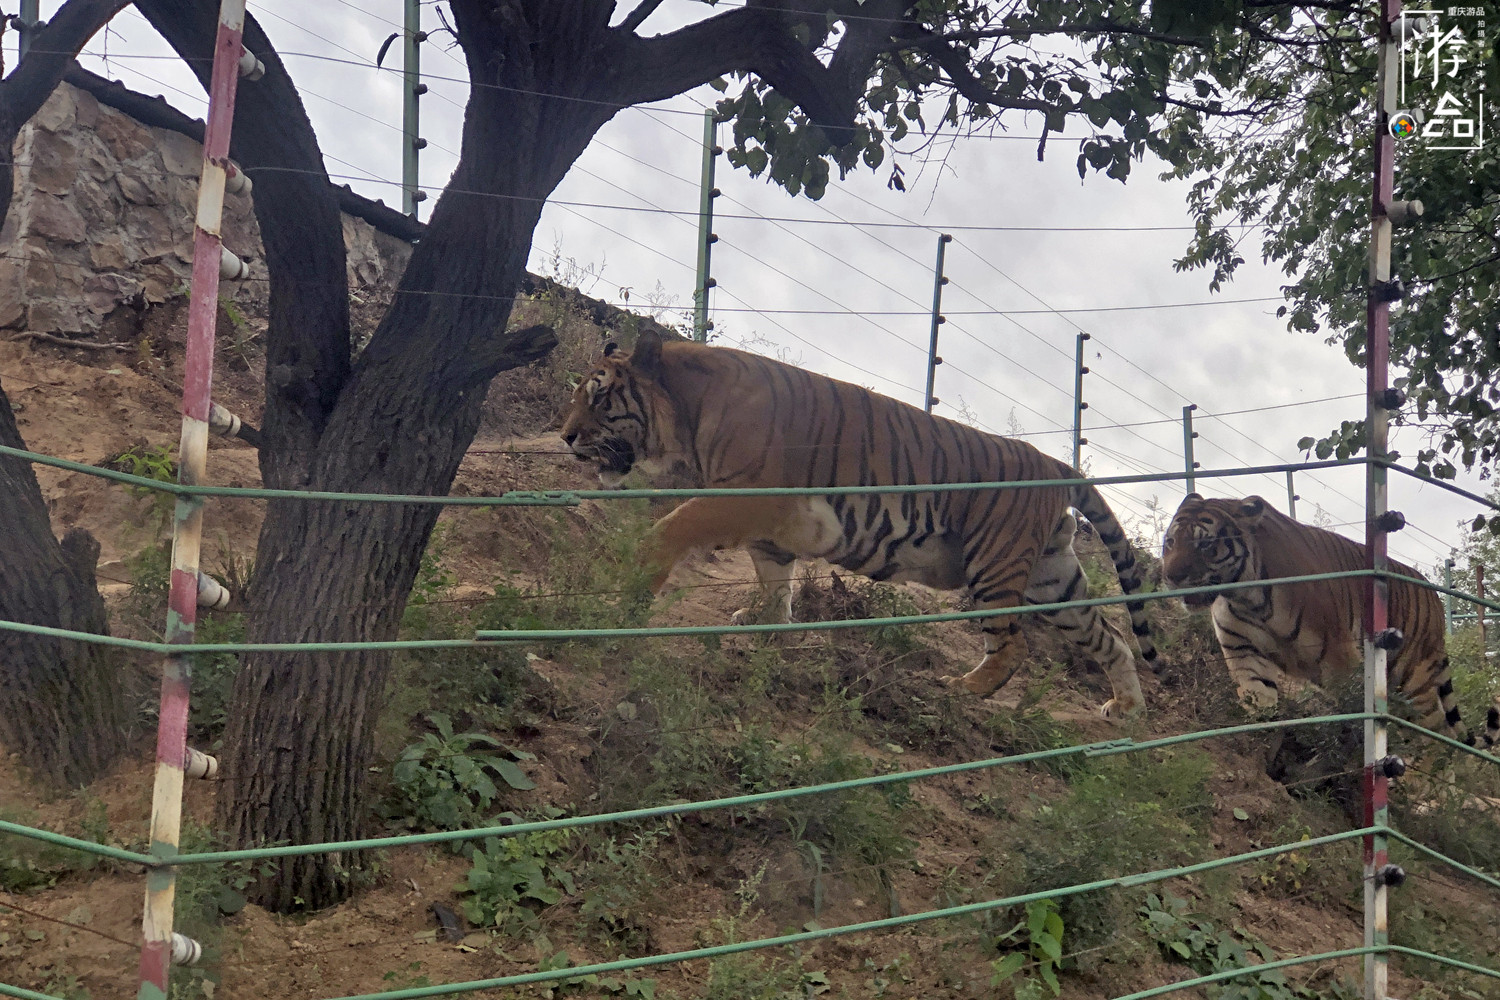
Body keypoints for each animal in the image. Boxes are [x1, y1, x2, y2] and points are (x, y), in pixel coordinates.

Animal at [564, 329, 1158, 719]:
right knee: (1110, 637)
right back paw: (1126, 708)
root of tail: (1056, 464)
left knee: (1013, 646)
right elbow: (775, 582)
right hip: (1051, 578)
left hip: (996, 563)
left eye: (598, 396)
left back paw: (960, 690)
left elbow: (670, 528)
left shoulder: (737, 496)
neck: (686, 412)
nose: (566, 437)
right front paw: (766, 626)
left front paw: (630, 594)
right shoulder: (772, 523)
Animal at [1152, 488, 1494, 746]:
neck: (1247, 596)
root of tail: (1435, 599)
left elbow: (1352, 711)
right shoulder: (1244, 652)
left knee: (1438, 738)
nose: (1171, 576)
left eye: (1206, 544)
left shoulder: (1340, 658)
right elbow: (1259, 700)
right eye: (1171, 542)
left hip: (1415, 680)